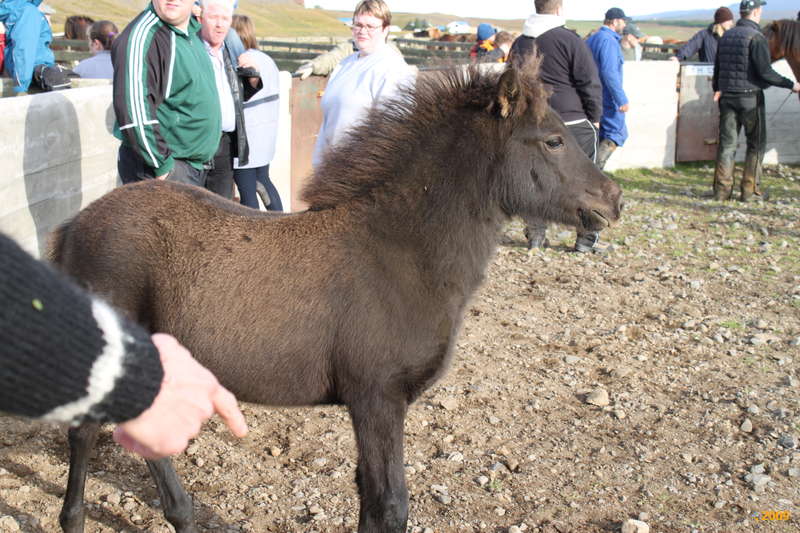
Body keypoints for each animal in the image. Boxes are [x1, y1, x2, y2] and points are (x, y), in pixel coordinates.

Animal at [49, 57, 623, 533]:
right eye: (552, 140)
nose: (612, 201)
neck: (398, 250)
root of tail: (76, 225)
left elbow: (370, 497)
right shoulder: (376, 397)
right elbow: (389, 504)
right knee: (86, 431)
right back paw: (78, 519)